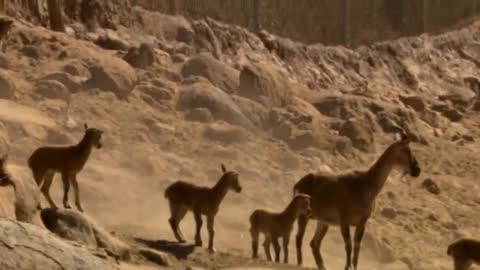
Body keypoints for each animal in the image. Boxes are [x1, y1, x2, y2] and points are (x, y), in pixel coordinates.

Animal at [292, 133, 420, 270]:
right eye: (407, 151)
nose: (417, 170)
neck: (366, 186)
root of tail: (298, 184)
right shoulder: (344, 221)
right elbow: (348, 246)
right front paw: (347, 267)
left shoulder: (362, 223)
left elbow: (357, 248)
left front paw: (353, 266)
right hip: (303, 216)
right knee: (299, 238)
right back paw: (300, 263)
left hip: (323, 222)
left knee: (314, 243)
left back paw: (322, 266)